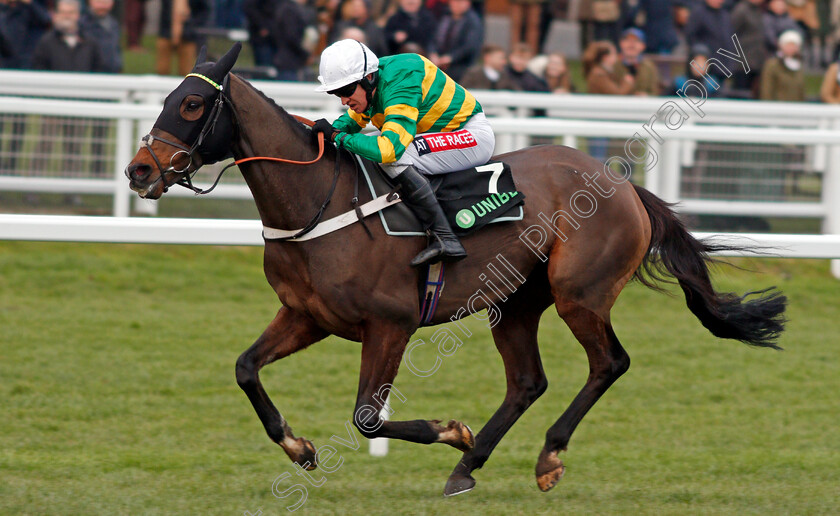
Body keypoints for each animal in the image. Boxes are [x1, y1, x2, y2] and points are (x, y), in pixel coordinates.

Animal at [126, 45, 788, 496]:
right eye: (165, 100)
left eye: (191, 104)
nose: (139, 171)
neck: (317, 202)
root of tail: (625, 186)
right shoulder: (306, 315)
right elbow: (245, 369)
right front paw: (299, 448)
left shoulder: (390, 324)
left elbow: (367, 417)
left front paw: (450, 430)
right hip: (514, 303)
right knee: (527, 383)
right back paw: (468, 467)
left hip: (580, 293)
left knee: (609, 364)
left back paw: (544, 456)